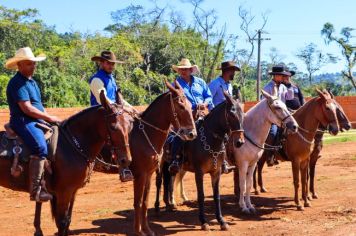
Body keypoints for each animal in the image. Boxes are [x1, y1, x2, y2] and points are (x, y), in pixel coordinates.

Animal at [0, 91, 133, 236]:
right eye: (113, 127)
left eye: (130, 125)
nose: (126, 160)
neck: (71, 144)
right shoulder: (63, 192)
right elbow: (62, 222)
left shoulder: (72, 191)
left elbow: (67, 220)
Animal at [128, 80, 196, 236]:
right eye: (181, 106)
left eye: (190, 105)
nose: (192, 134)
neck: (144, 134)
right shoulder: (140, 174)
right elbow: (138, 201)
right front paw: (139, 231)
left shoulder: (149, 172)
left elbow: (145, 201)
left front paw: (147, 229)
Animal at [156, 91, 245, 230]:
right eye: (231, 114)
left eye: (243, 114)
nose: (240, 142)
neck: (210, 140)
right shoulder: (199, 173)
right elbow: (201, 195)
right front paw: (203, 222)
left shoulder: (216, 172)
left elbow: (216, 196)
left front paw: (221, 221)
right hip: (159, 164)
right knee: (159, 182)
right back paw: (157, 208)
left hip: (171, 167)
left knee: (168, 181)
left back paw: (169, 205)